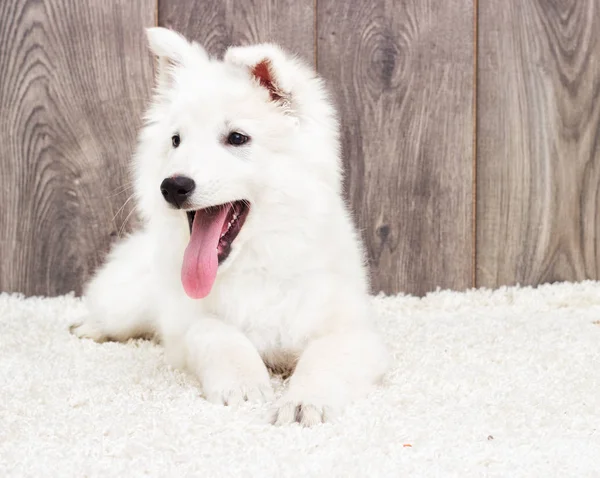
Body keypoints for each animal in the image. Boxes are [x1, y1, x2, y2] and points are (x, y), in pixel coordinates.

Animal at [71, 27, 390, 426]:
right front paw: (244, 383)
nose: (172, 186)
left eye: (237, 138)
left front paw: (305, 400)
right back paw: (89, 327)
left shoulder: (356, 331)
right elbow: (215, 332)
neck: (255, 264)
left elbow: (327, 355)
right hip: (127, 304)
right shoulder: (185, 324)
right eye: (176, 140)